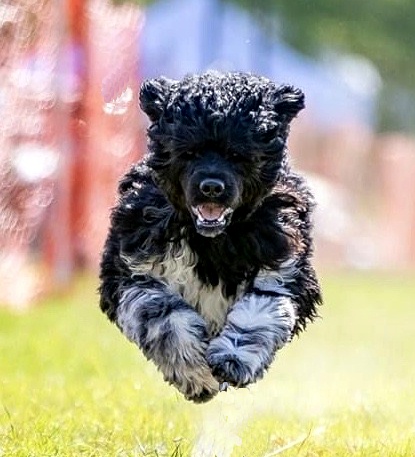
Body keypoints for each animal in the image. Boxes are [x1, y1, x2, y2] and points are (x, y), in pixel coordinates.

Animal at [99, 71, 324, 402]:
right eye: (189, 152)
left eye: (237, 154)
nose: (212, 187)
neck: (211, 241)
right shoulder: (132, 270)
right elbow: (164, 317)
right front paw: (194, 373)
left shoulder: (282, 265)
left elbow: (259, 312)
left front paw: (233, 359)